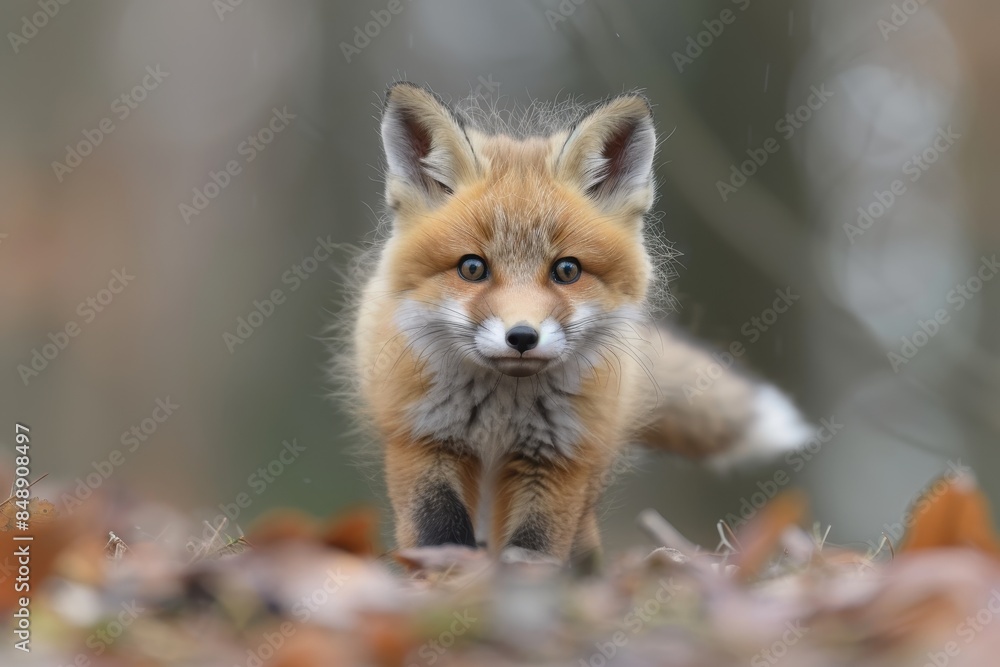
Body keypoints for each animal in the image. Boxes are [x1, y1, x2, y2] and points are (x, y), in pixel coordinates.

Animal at [346, 82, 813, 564]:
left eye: (567, 270)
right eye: (472, 268)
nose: (522, 337)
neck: (501, 409)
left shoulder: (557, 462)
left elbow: (535, 547)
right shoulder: (422, 443)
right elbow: (437, 533)